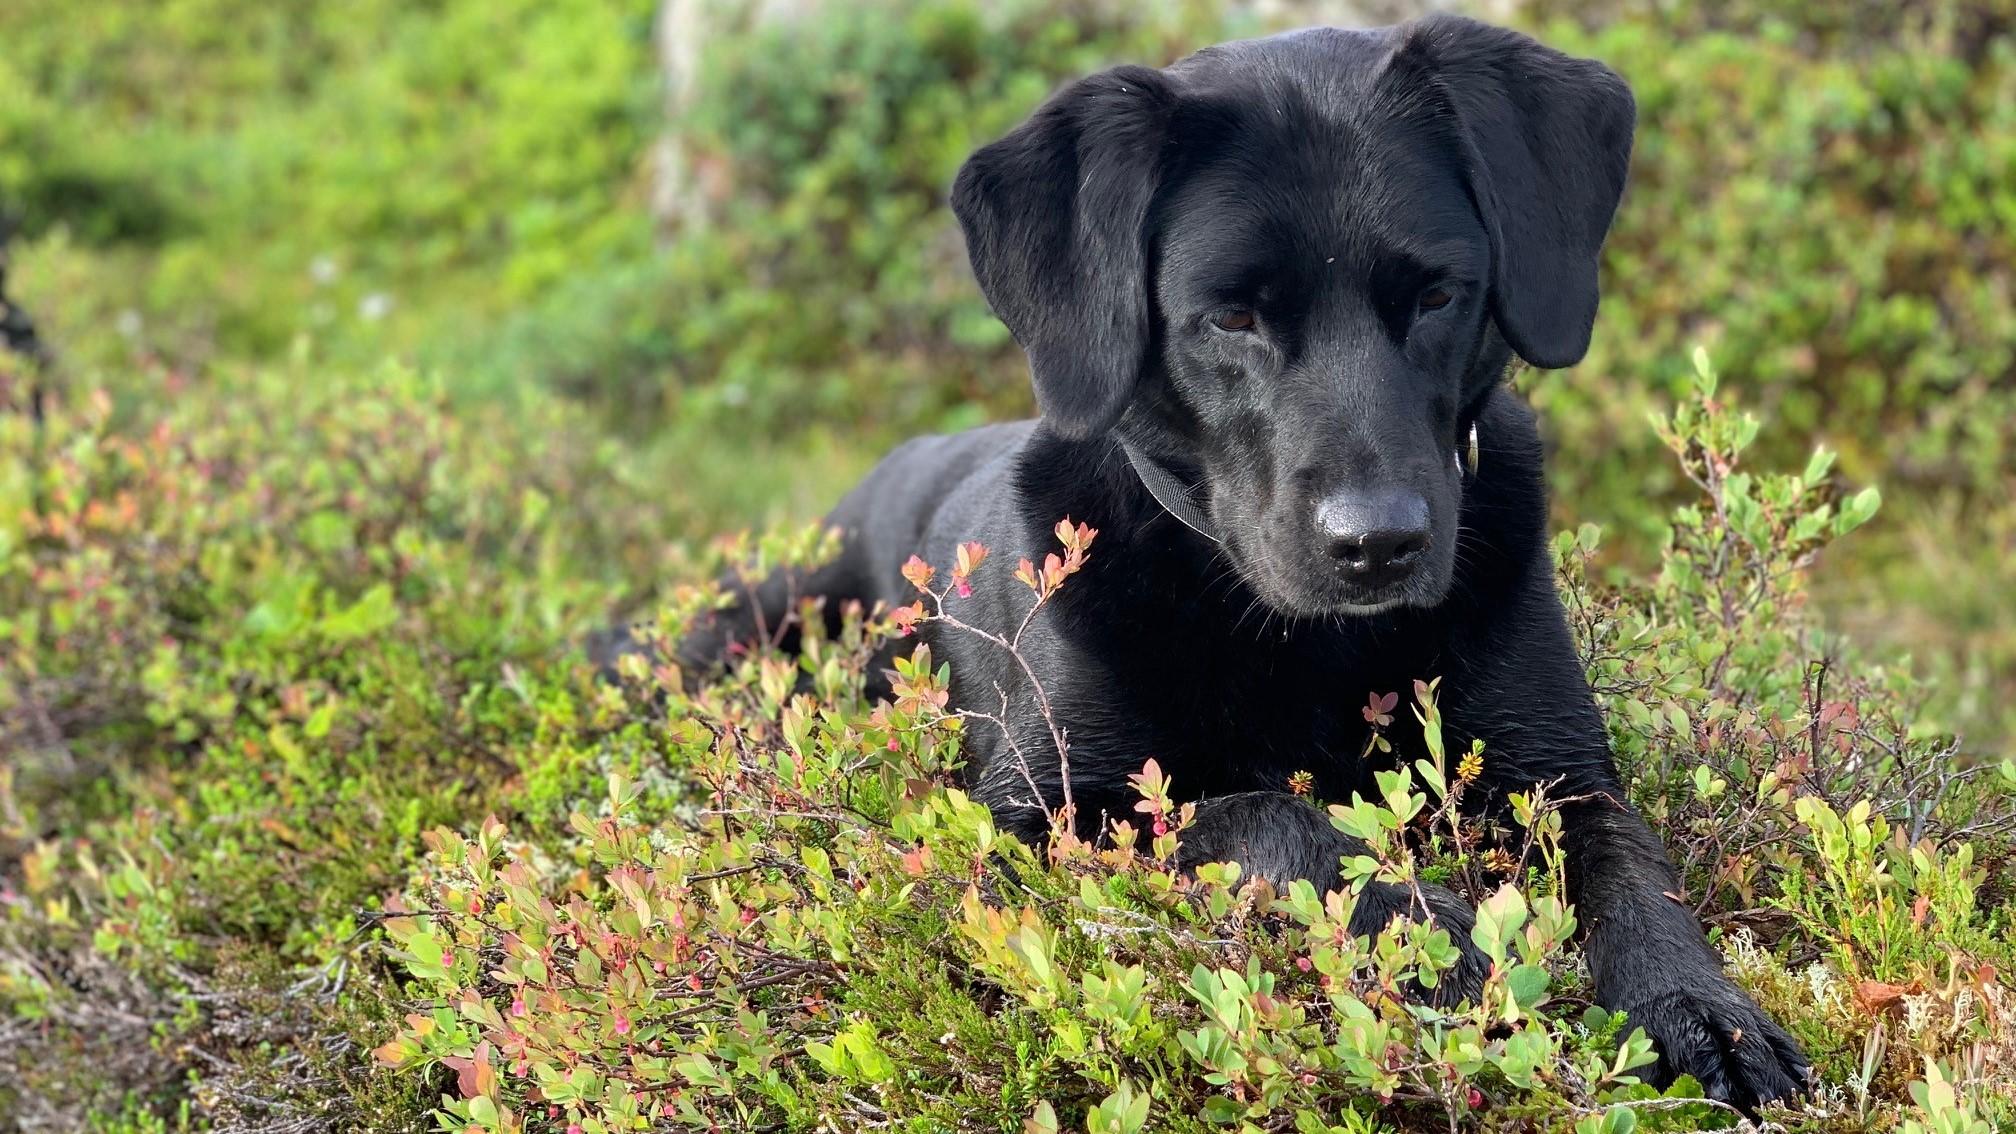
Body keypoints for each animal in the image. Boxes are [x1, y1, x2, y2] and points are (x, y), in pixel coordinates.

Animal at [673, 11, 1814, 1105]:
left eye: (1439, 296)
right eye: (1230, 315)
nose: (1379, 544)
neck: (1307, 646)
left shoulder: (1561, 776)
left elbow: (1637, 876)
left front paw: (1698, 1010)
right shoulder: (1037, 820)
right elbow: (1258, 814)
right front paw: (1428, 926)